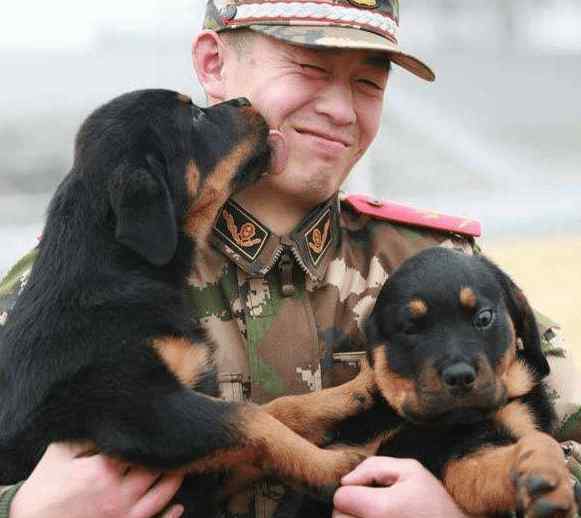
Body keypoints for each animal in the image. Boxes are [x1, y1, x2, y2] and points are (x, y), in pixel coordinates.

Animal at [0, 87, 362, 512]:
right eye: (195, 119)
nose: (244, 100)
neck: (121, 266)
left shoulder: (200, 458)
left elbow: (277, 409)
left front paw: (354, 391)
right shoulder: (141, 410)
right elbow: (250, 418)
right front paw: (337, 466)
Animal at [266, 248, 576, 518]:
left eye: (484, 317)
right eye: (410, 328)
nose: (459, 376)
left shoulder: (488, 436)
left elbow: (491, 463)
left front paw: (538, 473)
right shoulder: (346, 456)